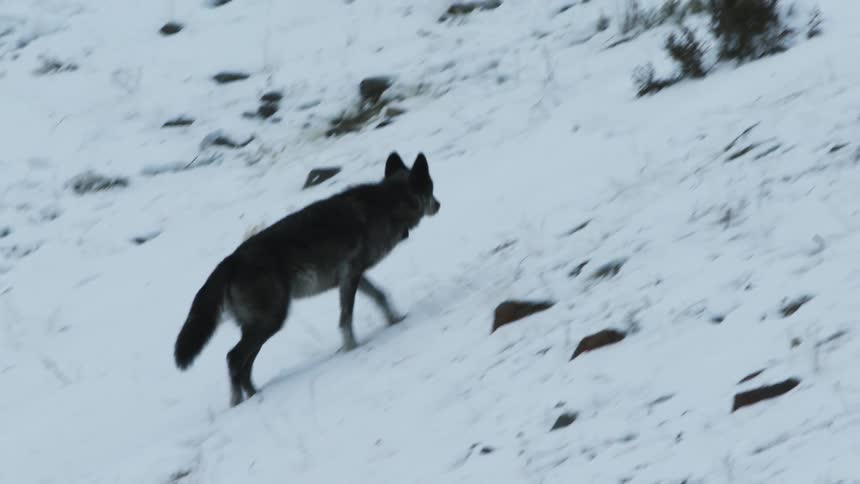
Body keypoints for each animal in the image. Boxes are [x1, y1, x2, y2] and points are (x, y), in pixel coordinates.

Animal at [172, 152, 440, 406]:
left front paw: (395, 319)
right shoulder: (351, 274)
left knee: (243, 366)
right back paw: (239, 403)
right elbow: (346, 318)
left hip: (263, 324)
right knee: (233, 358)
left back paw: (255, 395)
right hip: (272, 319)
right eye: (431, 188)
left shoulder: (352, 277)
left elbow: (380, 296)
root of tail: (229, 261)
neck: (387, 204)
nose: (439, 204)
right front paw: (353, 348)